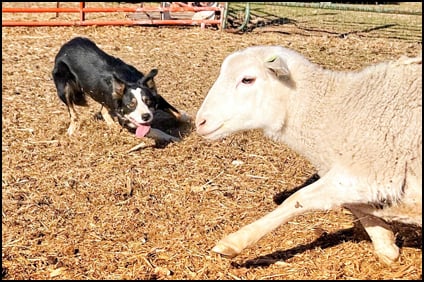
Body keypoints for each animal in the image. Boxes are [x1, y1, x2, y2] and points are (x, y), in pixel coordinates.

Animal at [195, 45, 420, 264]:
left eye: (247, 79)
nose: (200, 122)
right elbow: (357, 206)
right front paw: (387, 246)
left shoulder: (373, 168)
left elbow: (297, 199)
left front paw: (233, 242)